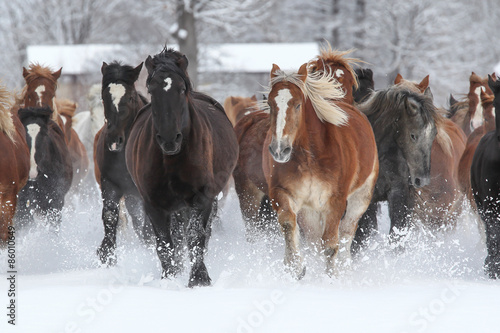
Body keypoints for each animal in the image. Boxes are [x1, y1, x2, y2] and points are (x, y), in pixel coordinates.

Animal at [94, 61, 152, 264]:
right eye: (104, 97)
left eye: (131, 98)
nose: (114, 140)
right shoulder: (111, 184)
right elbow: (110, 215)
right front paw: (106, 254)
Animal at [125, 48, 238, 286]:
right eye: (151, 89)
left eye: (182, 88)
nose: (169, 139)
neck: (173, 160)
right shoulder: (154, 204)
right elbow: (164, 244)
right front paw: (170, 277)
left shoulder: (202, 199)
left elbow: (196, 238)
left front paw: (199, 279)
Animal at [264, 63, 376, 278]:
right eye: (270, 104)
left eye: (298, 104)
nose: (279, 149)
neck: (310, 157)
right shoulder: (282, 193)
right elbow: (288, 224)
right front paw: (294, 266)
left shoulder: (335, 201)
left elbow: (331, 245)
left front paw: (331, 277)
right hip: (309, 211)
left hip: (360, 199)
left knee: (346, 234)